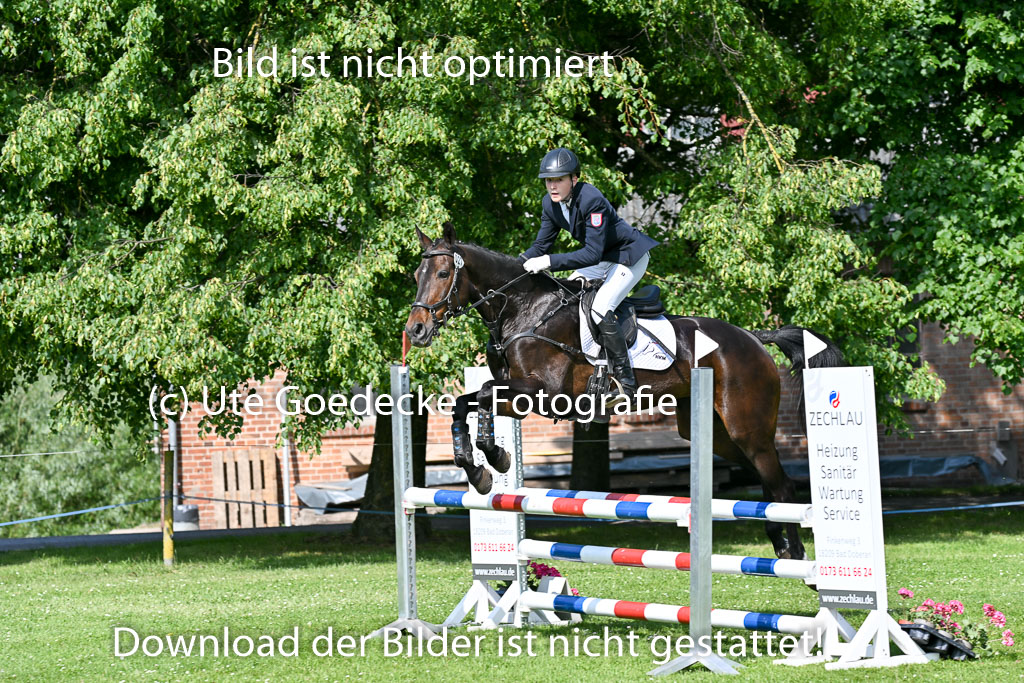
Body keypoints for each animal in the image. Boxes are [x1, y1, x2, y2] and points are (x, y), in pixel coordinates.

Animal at [404, 223, 844, 560]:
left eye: (443, 275)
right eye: (416, 277)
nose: (416, 331)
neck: (523, 311)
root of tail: (754, 338)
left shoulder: (540, 392)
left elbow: (479, 395)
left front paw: (491, 458)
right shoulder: (519, 399)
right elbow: (466, 402)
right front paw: (479, 465)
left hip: (745, 427)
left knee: (781, 485)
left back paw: (797, 555)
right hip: (720, 435)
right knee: (764, 481)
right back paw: (779, 545)